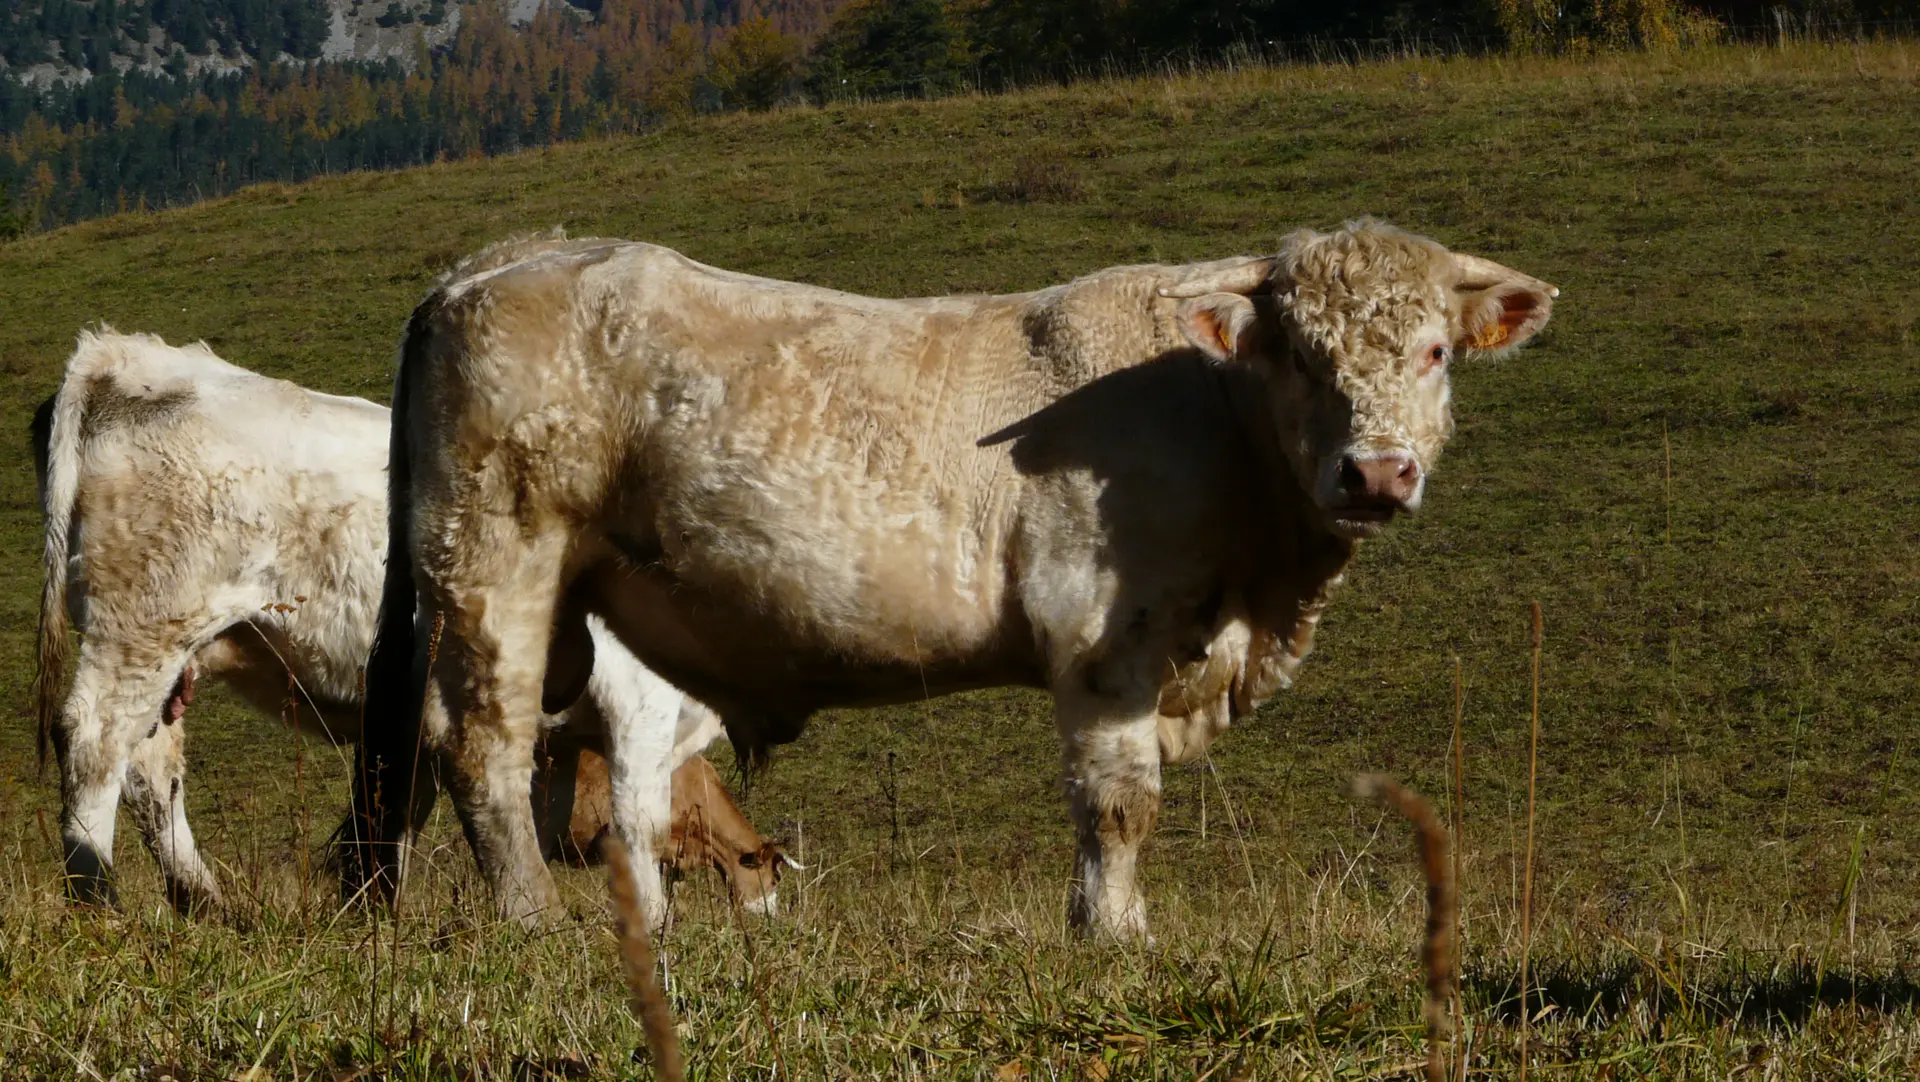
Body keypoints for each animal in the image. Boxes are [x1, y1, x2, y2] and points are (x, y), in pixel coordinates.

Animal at [30, 328, 791, 922]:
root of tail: (126, 355)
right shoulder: (641, 706)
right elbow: (639, 828)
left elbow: (416, 817)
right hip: (144, 623)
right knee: (95, 742)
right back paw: (97, 901)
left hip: (172, 651)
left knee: (151, 768)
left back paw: (203, 900)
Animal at [350, 220, 1557, 939]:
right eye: (1301, 354)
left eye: (1435, 352)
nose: (1377, 471)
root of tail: (500, 259)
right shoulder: (1107, 635)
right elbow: (1120, 802)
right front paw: (1113, 934)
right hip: (493, 563)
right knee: (484, 745)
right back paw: (533, 920)